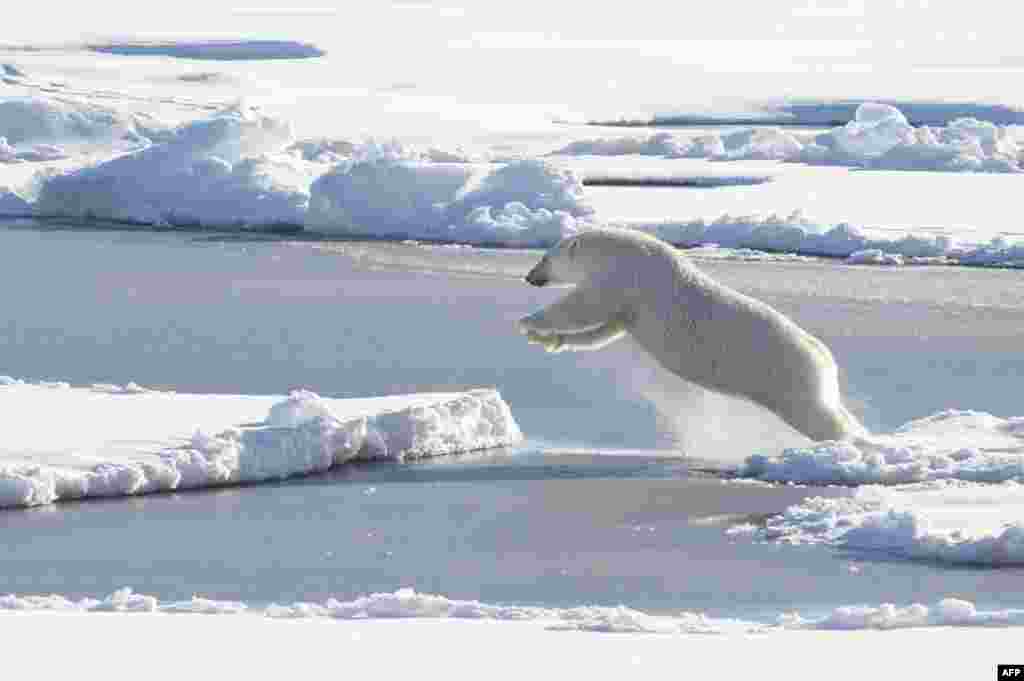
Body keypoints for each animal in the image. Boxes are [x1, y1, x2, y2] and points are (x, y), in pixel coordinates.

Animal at [520, 228, 864, 440]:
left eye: (545, 258)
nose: (529, 277)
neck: (610, 250)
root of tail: (823, 355)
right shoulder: (628, 306)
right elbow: (604, 330)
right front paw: (547, 339)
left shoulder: (624, 275)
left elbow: (584, 305)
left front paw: (528, 320)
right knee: (832, 409)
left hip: (785, 375)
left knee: (816, 416)